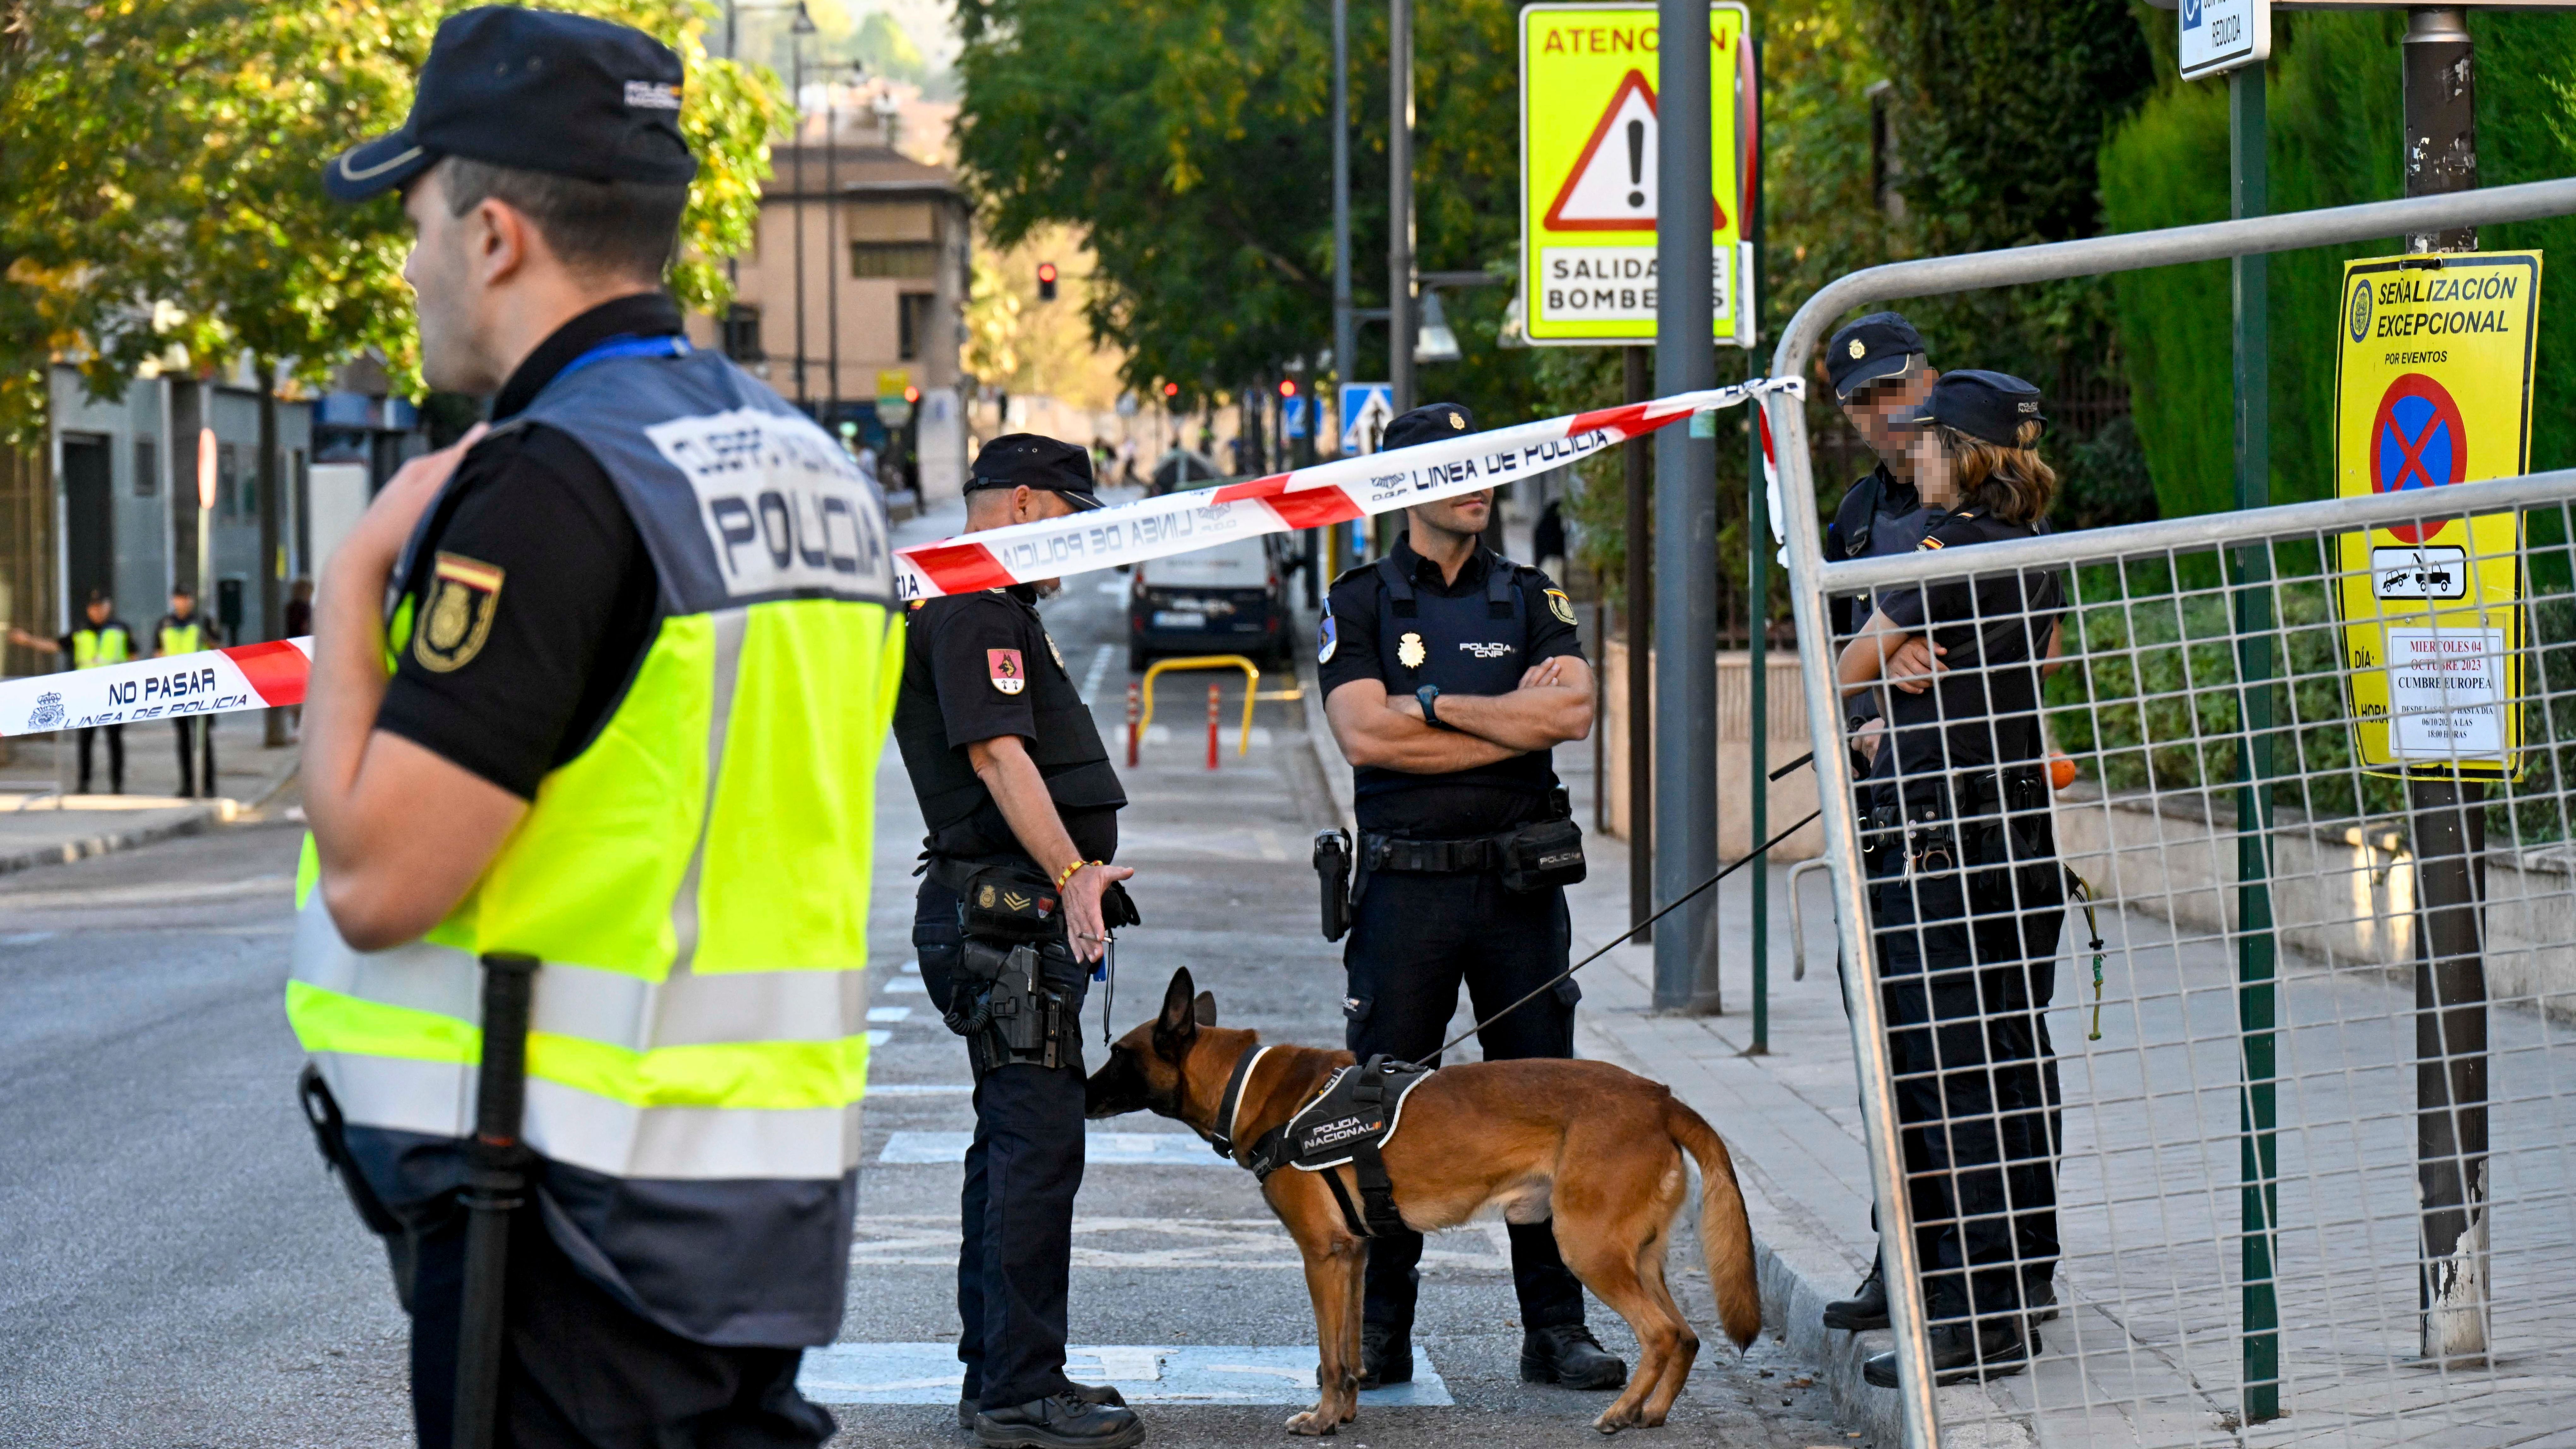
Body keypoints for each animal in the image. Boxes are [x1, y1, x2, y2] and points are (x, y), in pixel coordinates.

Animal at [1077, 964, 1762, 1423]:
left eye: (1118, 1054)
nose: (1077, 1092)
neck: (1242, 1082)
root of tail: (1660, 1097)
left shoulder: (1322, 1254)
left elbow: (1330, 1353)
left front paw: (1321, 1420)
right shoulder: (1351, 1256)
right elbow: (1349, 1347)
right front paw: (1344, 1413)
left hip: (1586, 1246)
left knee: (1662, 1334)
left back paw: (1622, 1412)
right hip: (1636, 1255)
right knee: (1687, 1334)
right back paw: (1653, 1412)